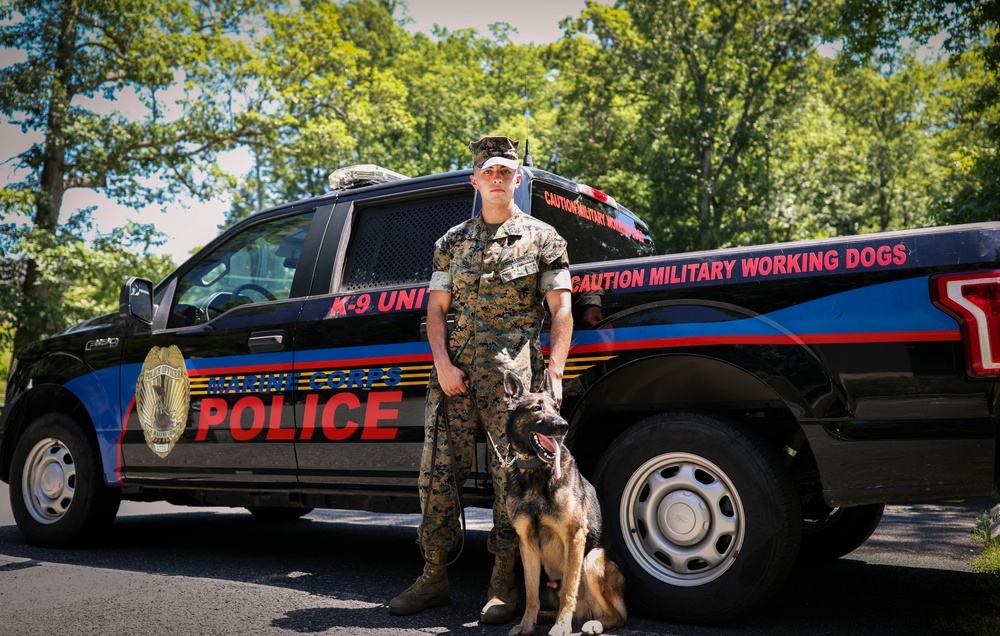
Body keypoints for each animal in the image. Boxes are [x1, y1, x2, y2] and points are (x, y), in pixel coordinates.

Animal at [504, 370, 628, 632]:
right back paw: (546, 615)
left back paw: (594, 624)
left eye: (556, 408)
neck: (536, 471)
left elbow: (569, 589)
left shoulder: (574, 537)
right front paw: (526, 625)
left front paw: (562, 626)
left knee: (618, 615)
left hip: (592, 558)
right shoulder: (526, 544)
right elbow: (531, 593)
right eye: (537, 408)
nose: (563, 426)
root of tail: (586, 611)